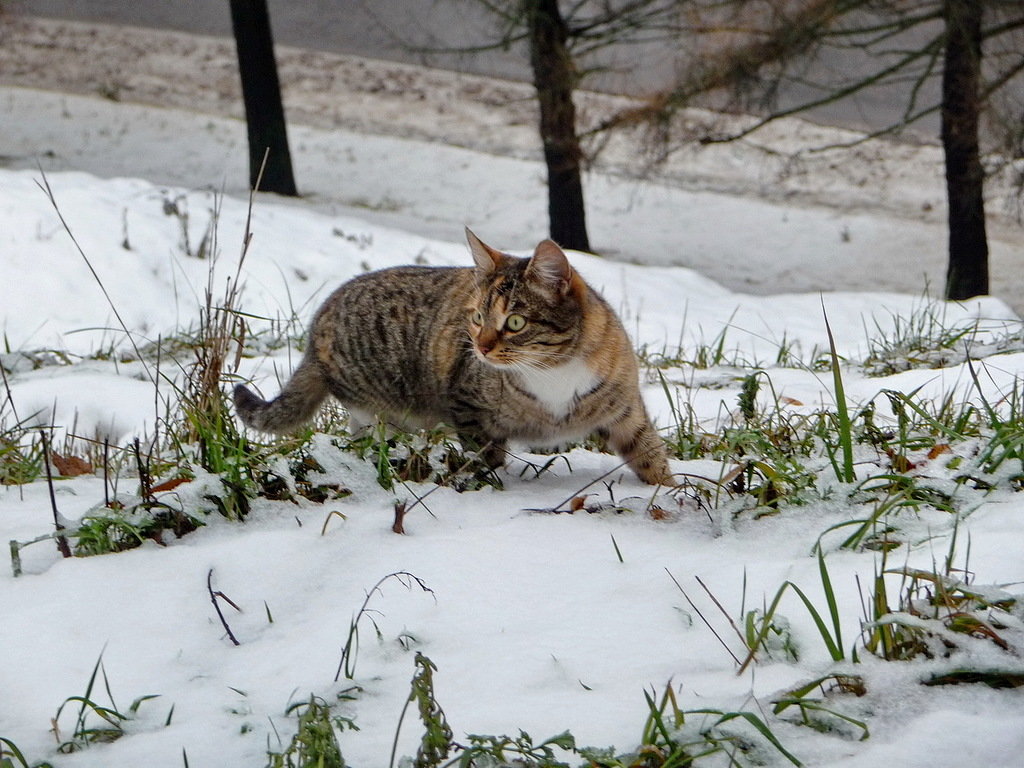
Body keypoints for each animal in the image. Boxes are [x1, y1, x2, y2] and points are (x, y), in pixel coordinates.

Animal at [231, 225, 671, 483]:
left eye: (515, 322)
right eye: (476, 317)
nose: (481, 347)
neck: (553, 370)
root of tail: (320, 318)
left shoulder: (625, 406)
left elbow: (649, 453)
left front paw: (666, 494)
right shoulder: (467, 404)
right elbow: (488, 456)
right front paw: (494, 482)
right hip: (381, 406)